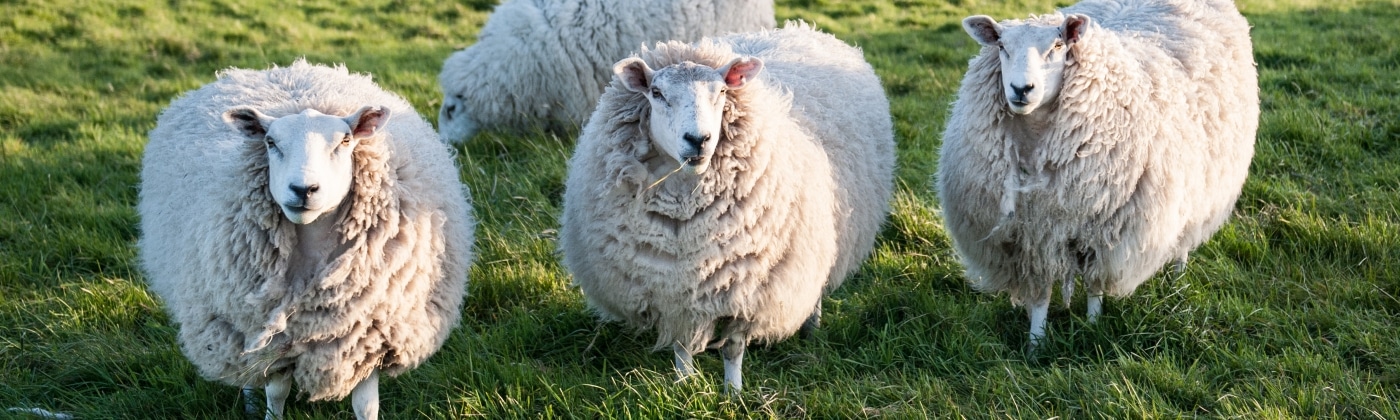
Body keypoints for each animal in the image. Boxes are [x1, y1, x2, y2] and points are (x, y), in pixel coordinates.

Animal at [140, 59, 476, 420]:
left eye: (345, 141)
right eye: (270, 142)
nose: (303, 189)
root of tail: (280, 69)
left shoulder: (368, 336)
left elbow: (366, 404)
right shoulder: (275, 342)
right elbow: (276, 393)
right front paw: (270, 413)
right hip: (236, 326)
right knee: (246, 371)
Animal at [560, 22, 896, 389]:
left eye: (721, 92)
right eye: (657, 93)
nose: (698, 140)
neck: (685, 208)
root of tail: (796, 29)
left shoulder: (748, 291)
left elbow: (733, 348)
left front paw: (733, 392)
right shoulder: (674, 289)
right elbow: (682, 343)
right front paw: (684, 385)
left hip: (819, 238)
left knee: (817, 284)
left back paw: (811, 327)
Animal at [940, 0, 1260, 345]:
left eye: (1057, 46)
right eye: (1001, 46)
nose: (1021, 89)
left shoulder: (1105, 231)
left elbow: (1095, 286)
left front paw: (1093, 327)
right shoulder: (1033, 235)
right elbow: (1041, 295)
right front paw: (1036, 343)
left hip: (1203, 187)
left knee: (1185, 240)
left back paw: (1177, 279)